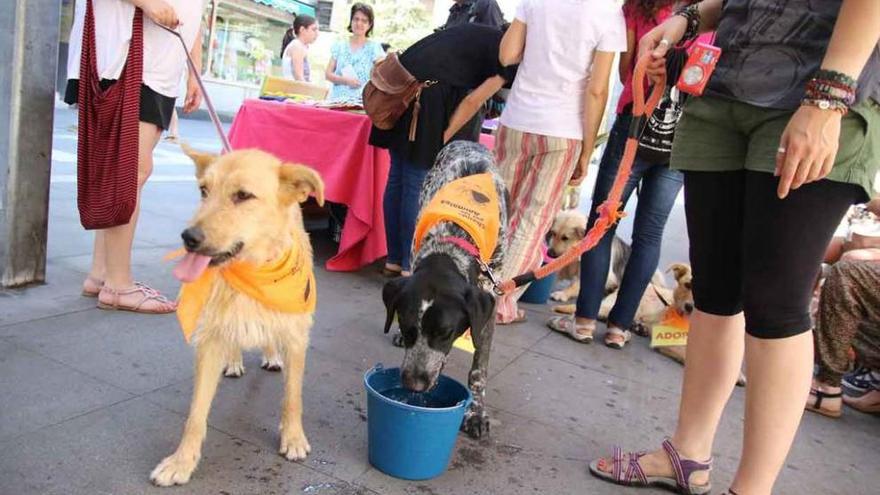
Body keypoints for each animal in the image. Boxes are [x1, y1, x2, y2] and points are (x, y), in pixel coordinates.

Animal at [150, 148, 324, 488]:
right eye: (203, 191)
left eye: (243, 196)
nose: (188, 237)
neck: (254, 271)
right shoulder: (210, 341)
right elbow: (196, 414)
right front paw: (182, 461)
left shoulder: (297, 337)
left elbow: (293, 397)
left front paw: (293, 438)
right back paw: (233, 360)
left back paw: (271, 355)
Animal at [380, 141, 508, 440]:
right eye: (407, 327)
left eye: (446, 333)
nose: (414, 385)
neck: (452, 240)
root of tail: (468, 142)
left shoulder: (491, 298)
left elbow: (479, 369)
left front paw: (475, 413)